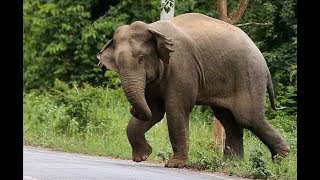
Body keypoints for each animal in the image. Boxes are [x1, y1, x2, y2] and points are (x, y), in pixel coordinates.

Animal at [95, 13, 290, 169]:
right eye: (117, 64)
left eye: (141, 58)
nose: (131, 110)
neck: (153, 29)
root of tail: (263, 62)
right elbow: (155, 111)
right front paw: (141, 157)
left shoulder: (182, 67)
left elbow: (175, 110)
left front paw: (174, 165)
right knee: (228, 120)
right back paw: (231, 164)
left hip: (248, 76)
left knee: (248, 118)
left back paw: (281, 160)